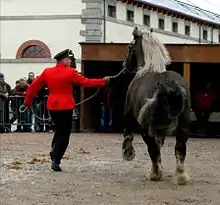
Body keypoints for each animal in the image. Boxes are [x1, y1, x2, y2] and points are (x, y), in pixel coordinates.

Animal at [122, 26, 191, 185]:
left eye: (129, 47)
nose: (124, 66)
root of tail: (169, 84)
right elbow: (160, 146)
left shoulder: (129, 116)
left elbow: (128, 134)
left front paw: (128, 153)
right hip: (183, 127)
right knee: (180, 150)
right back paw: (180, 176)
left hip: (145, 129)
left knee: (152, 149)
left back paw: (154, 174)